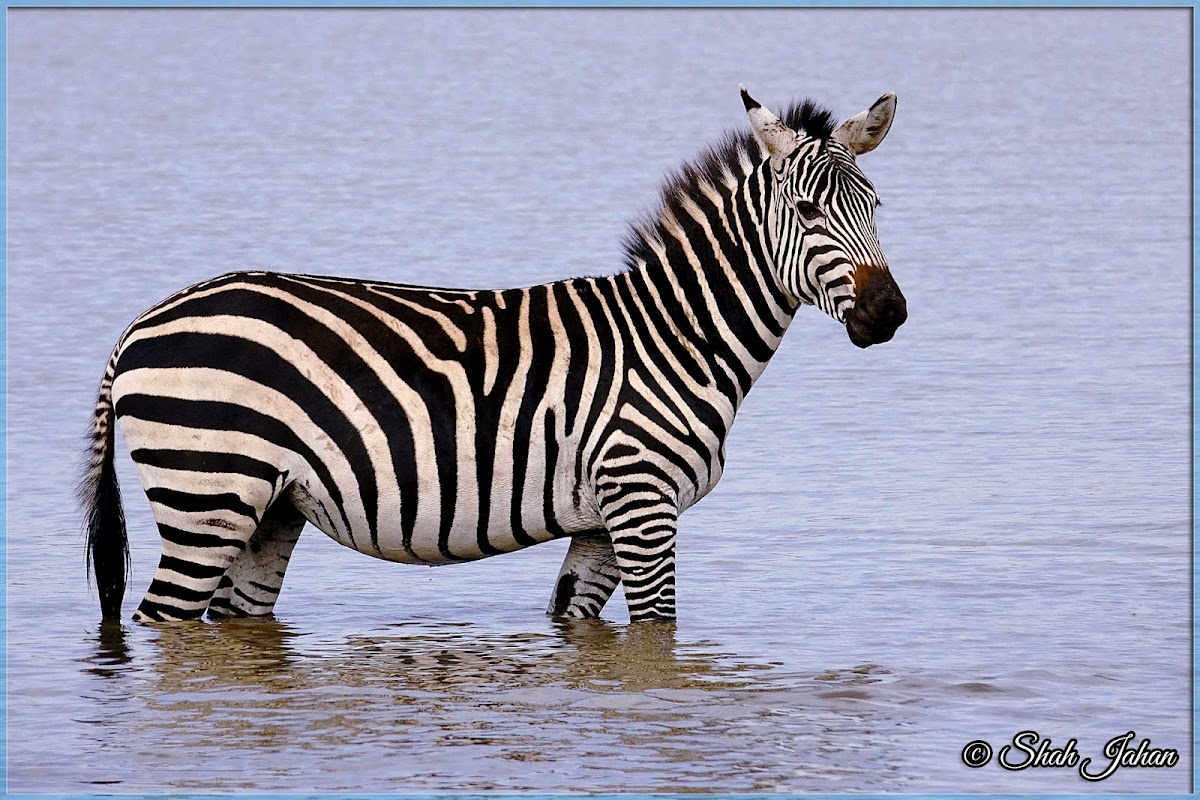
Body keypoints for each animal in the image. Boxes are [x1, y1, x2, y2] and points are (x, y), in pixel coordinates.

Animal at [79, 87, 902, 623]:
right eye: (808, 211)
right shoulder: (643, 502)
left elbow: (579, 623)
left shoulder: (601, 521)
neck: (677, 338)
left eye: (876, 207)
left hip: (267, 509)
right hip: (207, 493)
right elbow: (659, 630)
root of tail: (139, 324)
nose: (888, 314)